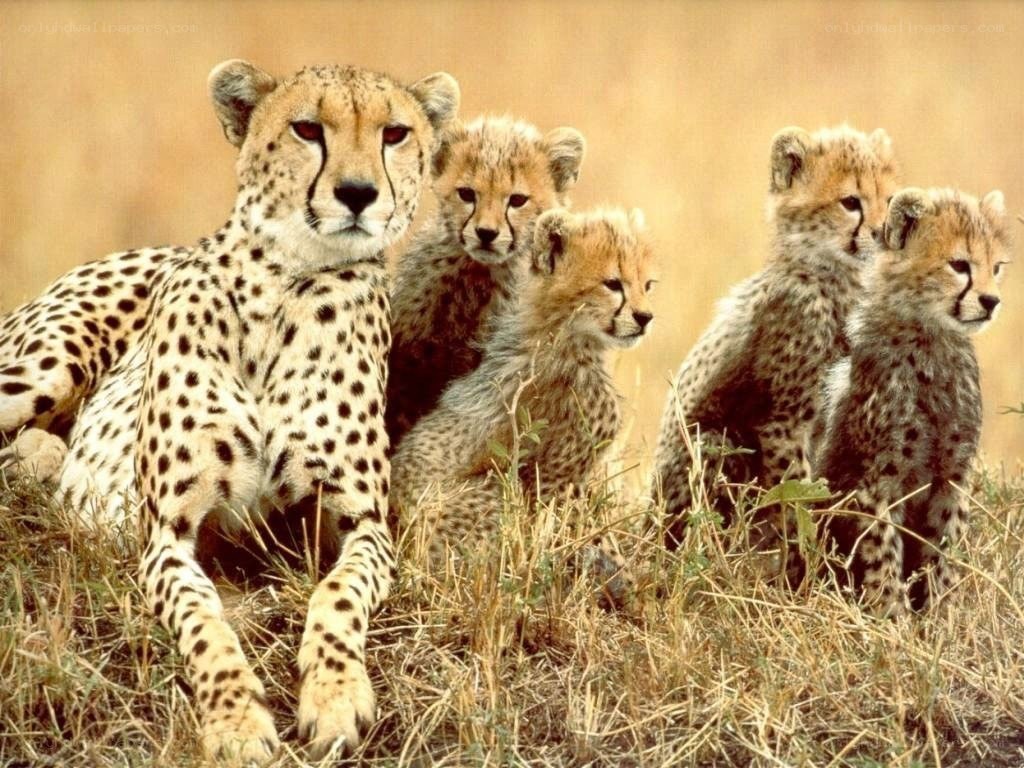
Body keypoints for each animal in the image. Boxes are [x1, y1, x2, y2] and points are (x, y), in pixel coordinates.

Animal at [0, 59, 459, 764]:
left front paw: (335, 694)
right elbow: (206, 627)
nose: (357, 193)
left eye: (395, 133)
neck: (285, 284)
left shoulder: (363, 526)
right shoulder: (168, 533)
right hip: (48, 364)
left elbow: (337, 598)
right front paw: (236, 722)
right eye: (307, 129)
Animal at [650, 124, 899, 555]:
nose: (883, 234)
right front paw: (808, 554)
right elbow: (797, 492)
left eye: (888, 200)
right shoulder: (783, 421)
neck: (834, 281)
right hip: (714, 441)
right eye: (851, 202)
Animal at [815, 186, 1010, 616]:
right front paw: (892, 619)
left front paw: (942, 616)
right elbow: (882, 553)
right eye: (959, 265)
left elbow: (945, 549)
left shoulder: (952, 475)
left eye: (997, 267)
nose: (991, 301)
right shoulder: (876, 482)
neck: (931, 339)